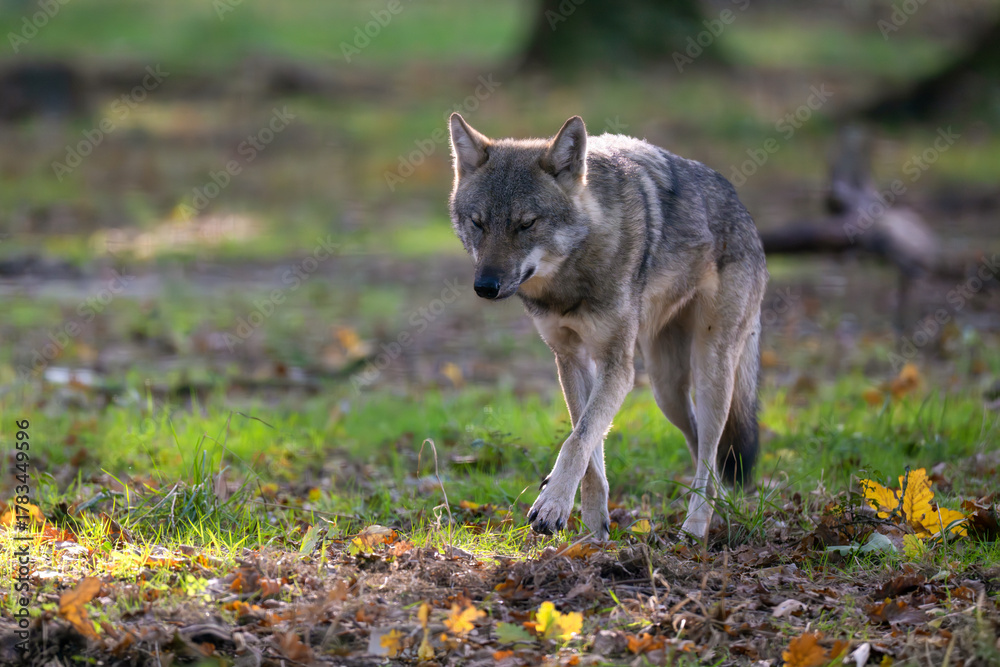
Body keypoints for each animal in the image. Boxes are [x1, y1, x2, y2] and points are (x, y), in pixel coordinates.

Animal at [447, 114, 768, 540]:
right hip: (666, 390)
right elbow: (589, 447)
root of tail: (743, 208)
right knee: (705, 449)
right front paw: (592, 532)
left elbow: (577, 439)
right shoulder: (572, 360)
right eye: (478, 223)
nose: (485, 286)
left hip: (709, 371)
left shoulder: (617, 366)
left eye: (526, 224)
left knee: (710, 453)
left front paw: (552, 504)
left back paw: (696, 526)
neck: (569, 279)